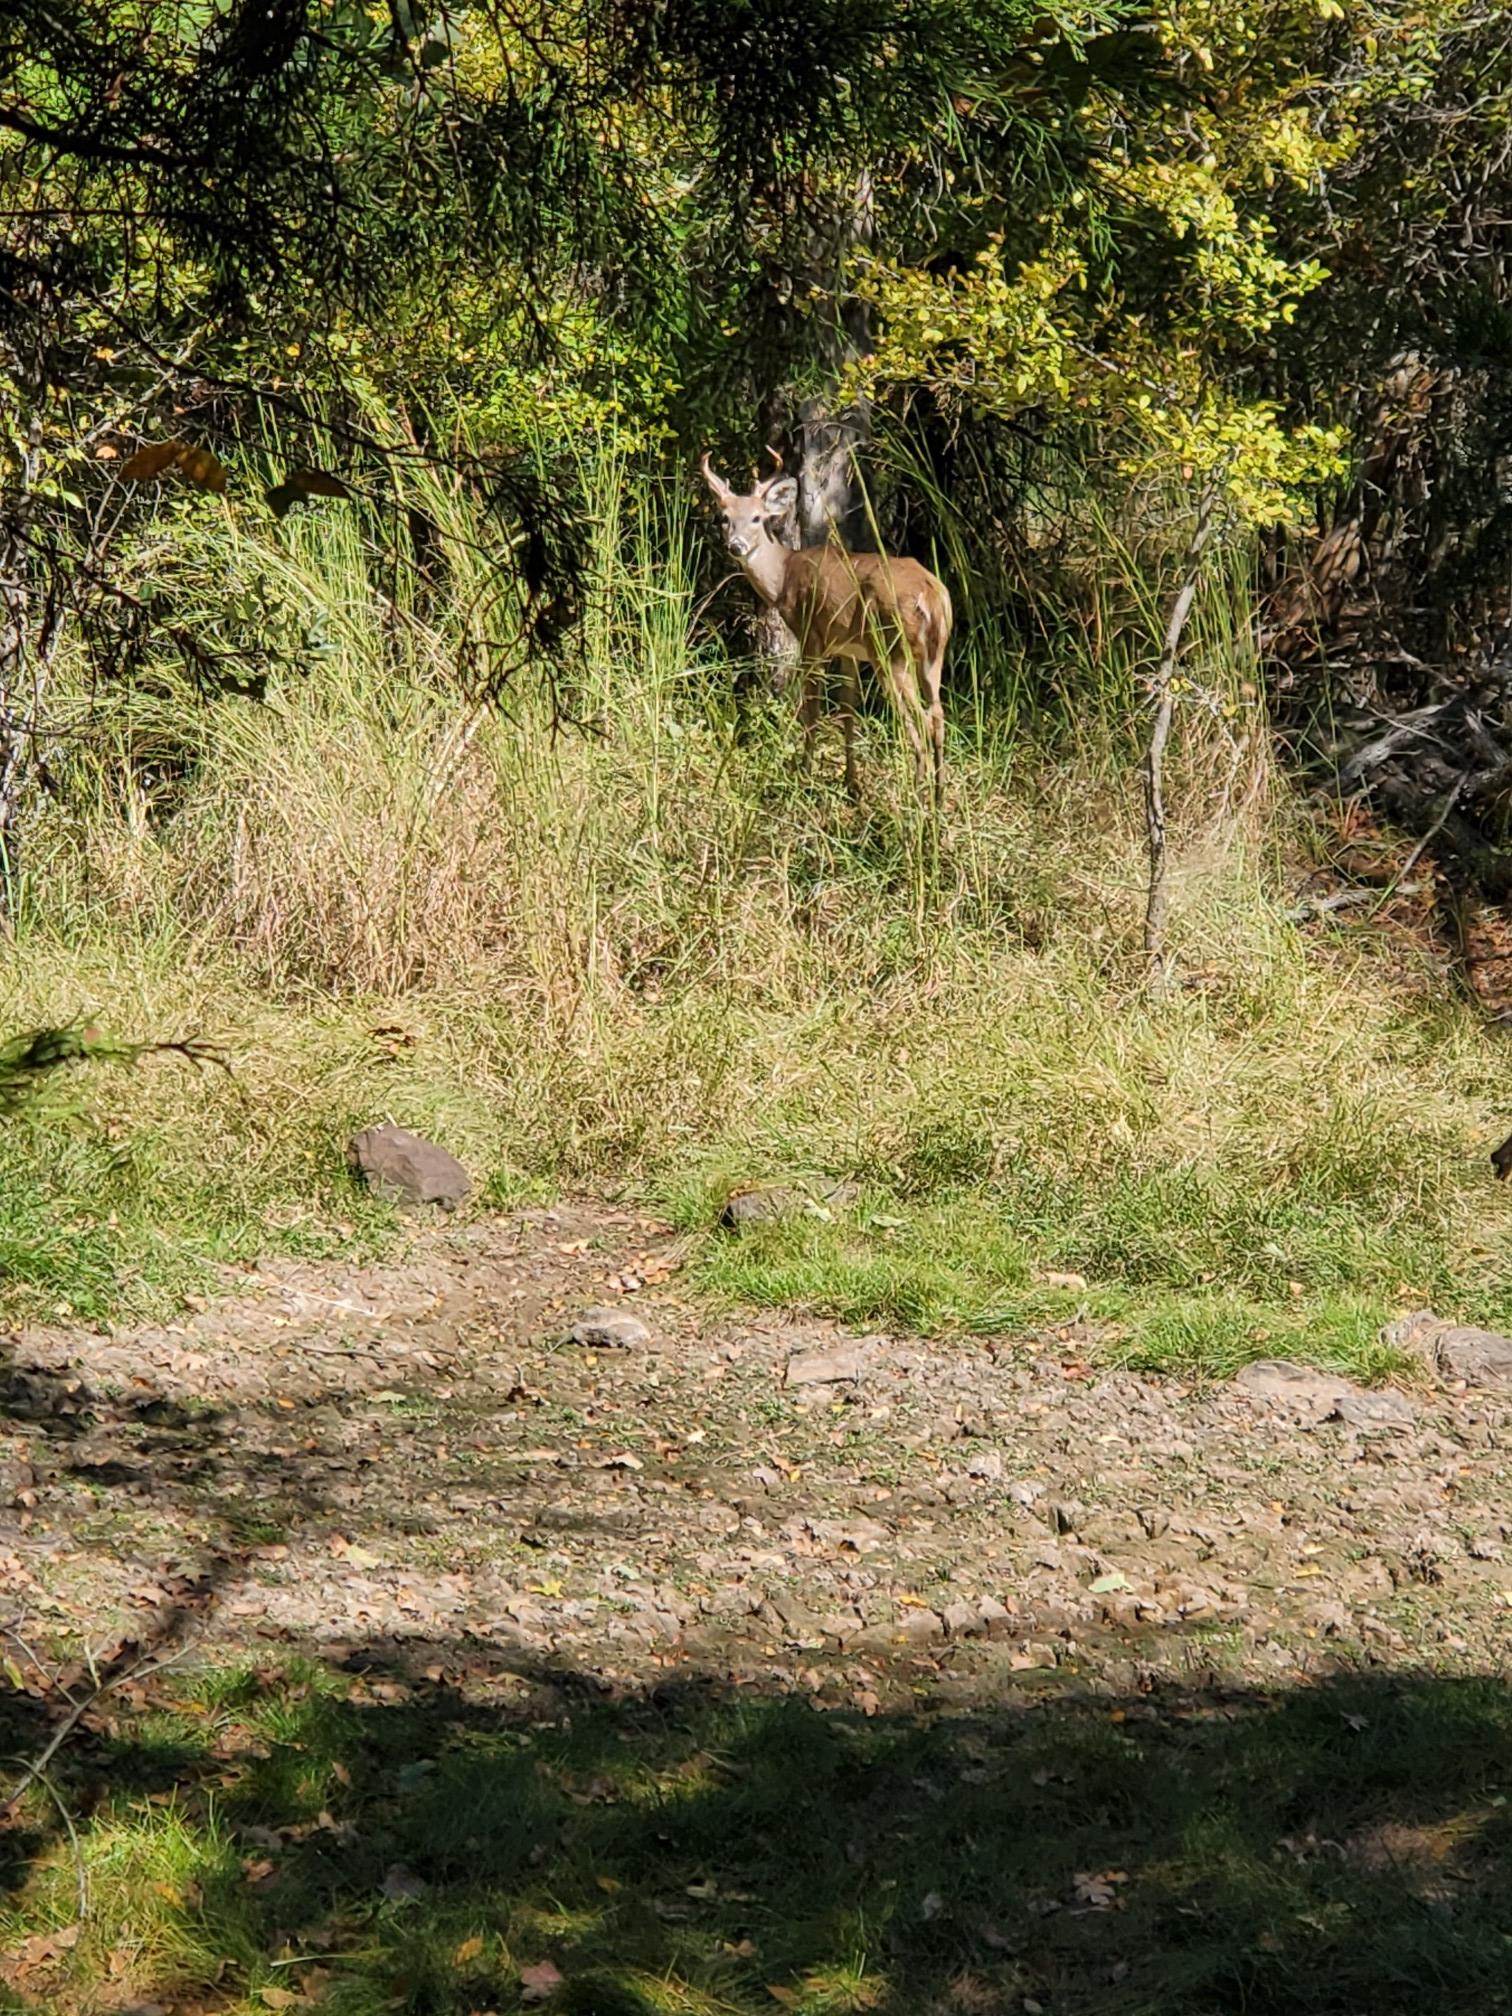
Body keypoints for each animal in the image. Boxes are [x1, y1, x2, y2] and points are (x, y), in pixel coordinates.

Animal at [700, 448, 951, 811]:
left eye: (758, 518)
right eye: (724, 517)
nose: (736, 545)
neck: (783, 578)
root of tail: (931, 596)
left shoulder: (811, 637)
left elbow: (813, 709)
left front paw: (804, 776)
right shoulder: (849, 650)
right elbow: (847, 711)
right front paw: (851, 785)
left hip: (891, 652)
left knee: (917, 719)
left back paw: (916, 801)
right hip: (933, 653)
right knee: (938, 715)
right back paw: (939, 798)